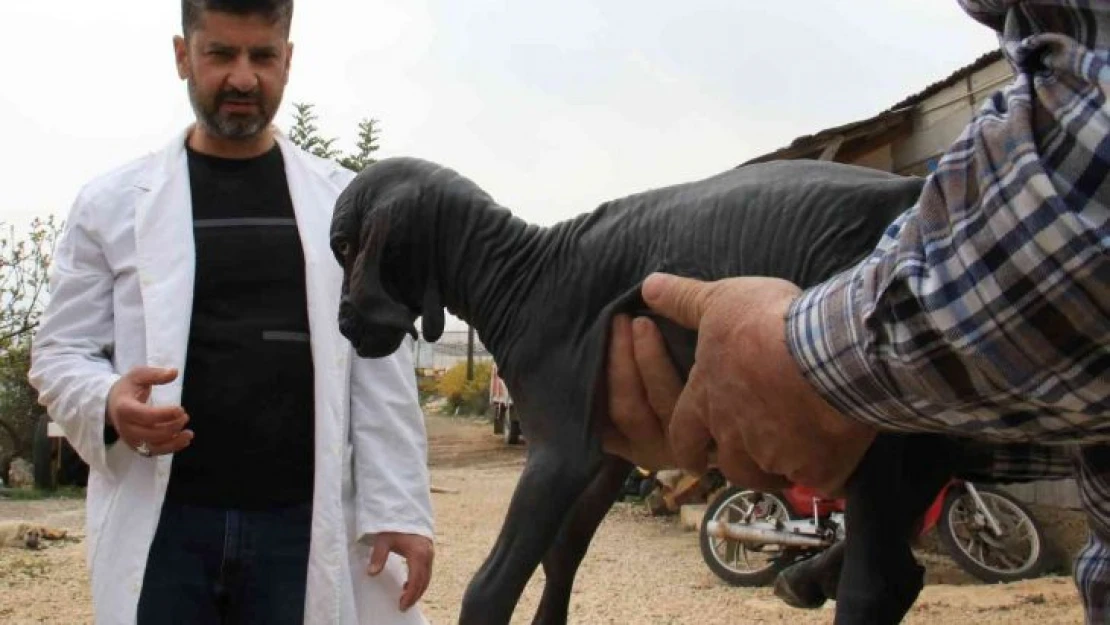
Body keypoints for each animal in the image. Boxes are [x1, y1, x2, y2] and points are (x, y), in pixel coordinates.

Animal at [328, 157, 1038, 625]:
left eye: (342, 245)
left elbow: (492, 584)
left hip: (890, 398)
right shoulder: (606, 454)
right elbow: (561, 559)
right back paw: (806, 577)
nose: (342, 324)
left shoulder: (560, 450)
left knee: (881, 583)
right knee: (895, 565)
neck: (520, 272)